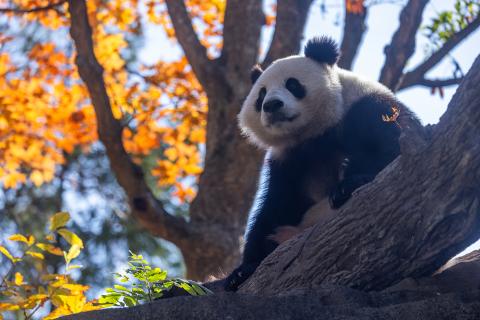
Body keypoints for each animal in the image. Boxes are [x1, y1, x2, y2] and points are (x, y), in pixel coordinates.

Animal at [224, 36, 420, 292]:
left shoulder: (369, 107)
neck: (314, 131)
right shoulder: (288, 161)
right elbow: (274, 208)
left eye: (292, 84)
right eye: (261, 95)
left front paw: (348, 185)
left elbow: (389, 150)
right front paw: (241, 271)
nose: (272, 105)